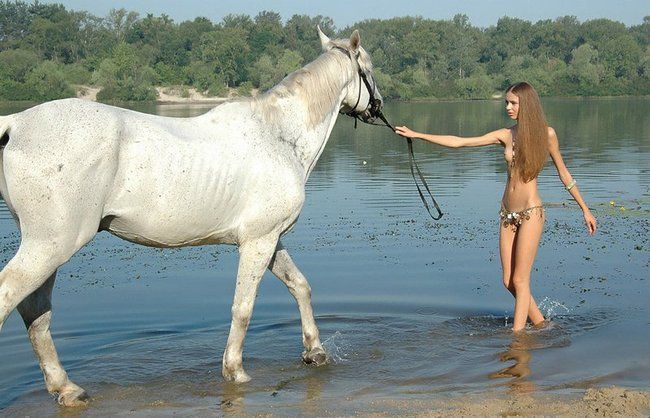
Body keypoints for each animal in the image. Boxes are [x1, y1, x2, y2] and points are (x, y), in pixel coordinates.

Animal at [0, 27, 380, 404]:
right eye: (370, 68)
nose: (378, 106)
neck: (278, 136)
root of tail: (15, 123)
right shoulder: (258, 241)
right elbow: (243, 307)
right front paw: (235, 370)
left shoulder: (270, 239)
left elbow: (299, 285)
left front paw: (315, 351)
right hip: (50, 246)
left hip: (47, 251)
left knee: (35, 314)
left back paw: (66, 388)